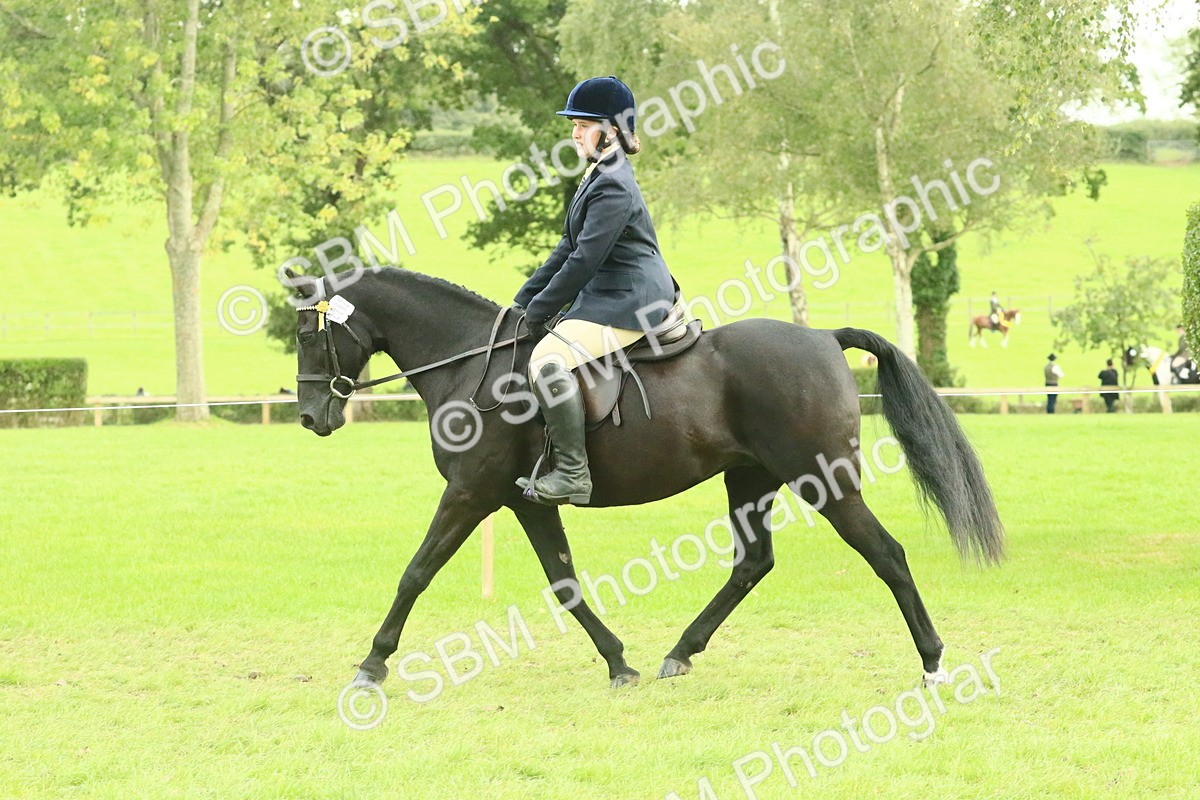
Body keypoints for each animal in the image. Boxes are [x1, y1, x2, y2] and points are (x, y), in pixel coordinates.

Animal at [286, 267, 1004, 693]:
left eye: (306, 334)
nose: (311, 416)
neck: (469, 365)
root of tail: (825, 337)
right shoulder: (524, 502)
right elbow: (566, 583)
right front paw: (618, 661)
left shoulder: (469, 493)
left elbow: (416, 571)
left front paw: (373, 663)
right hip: (750, 479)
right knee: (753, 563)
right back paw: (681, 651)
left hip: (821, 479)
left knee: (886, 554)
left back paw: (933, 662)